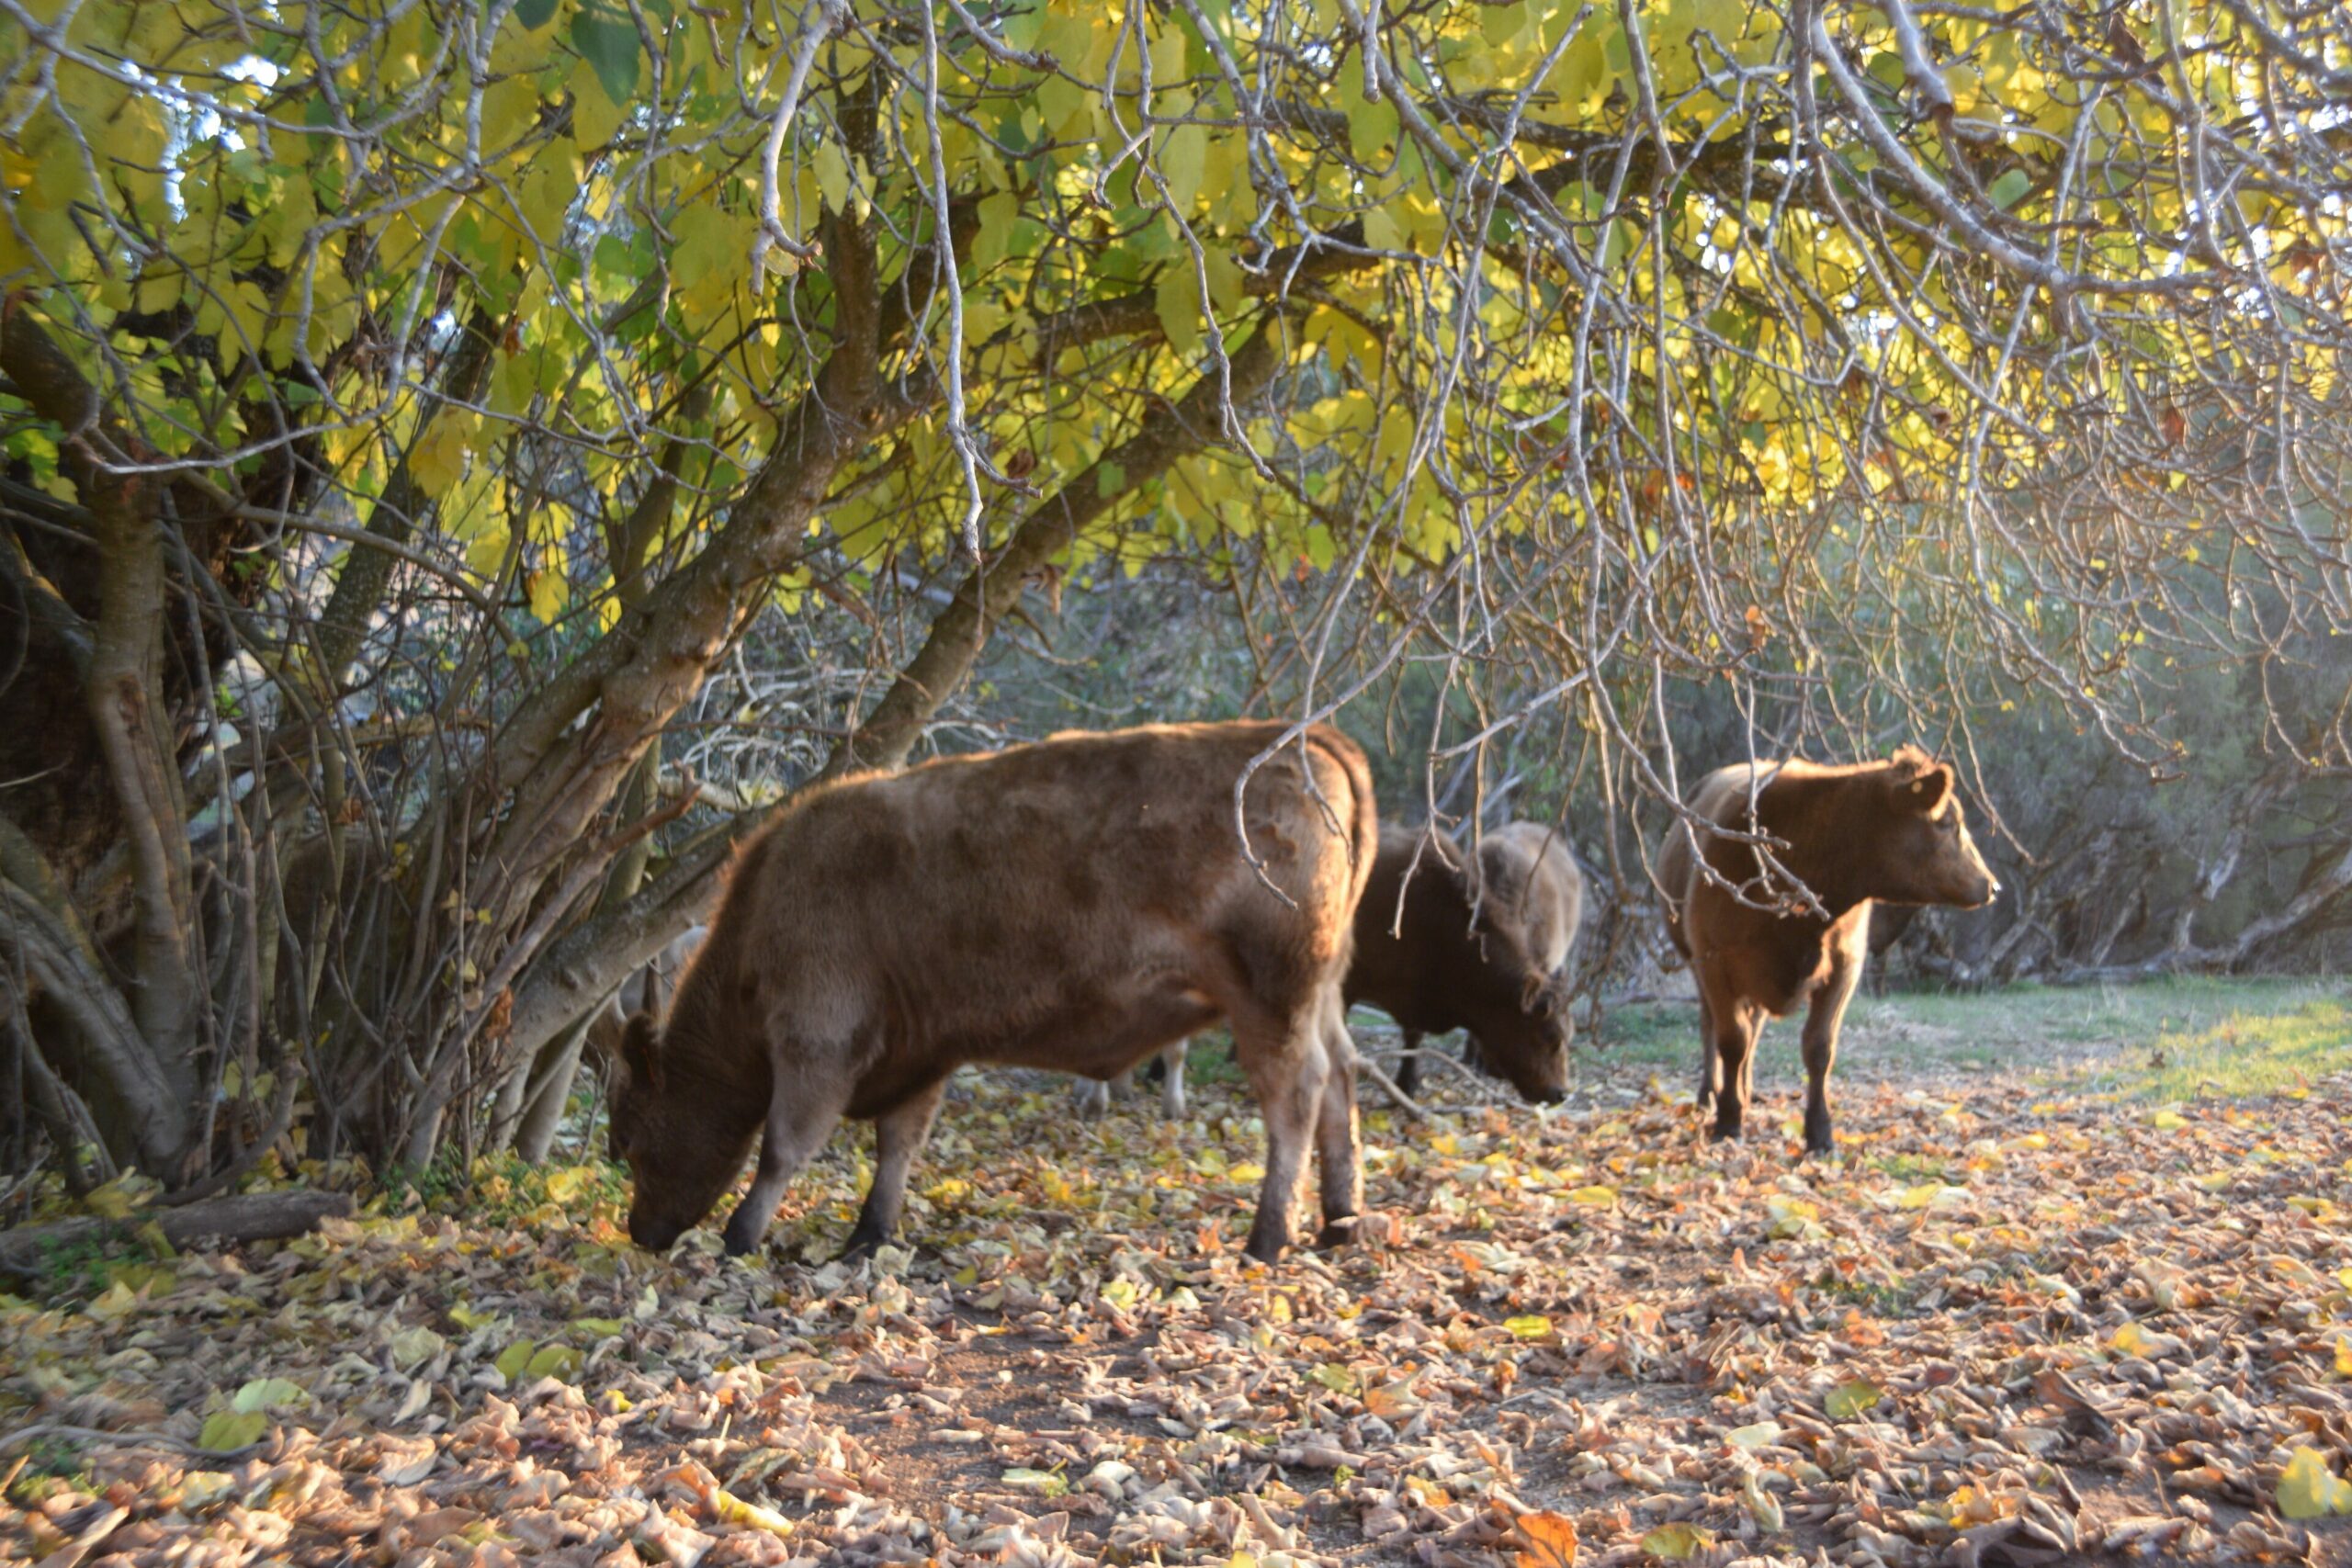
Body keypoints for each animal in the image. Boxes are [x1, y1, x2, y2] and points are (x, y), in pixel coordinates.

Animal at [606, 719, 1374, 1259]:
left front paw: (739, 1238)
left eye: (633, 1136)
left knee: (1297, 1094)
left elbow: (783, 1146)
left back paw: (1268, 1238)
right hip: (1320, 995)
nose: (640, 1230)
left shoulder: (816, 1040)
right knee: (1341, 1075)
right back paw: (1340, 1221)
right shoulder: (916, 1051)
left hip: (1272, 999)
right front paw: (869, 1235)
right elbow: (898, 1145)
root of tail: (1306, 738)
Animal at [1656, 747, 2004, 1152]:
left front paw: (1819, 1131)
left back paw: (1747, 1090)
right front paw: (1728, 1120)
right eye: (1946, 823)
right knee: (1712, 1027)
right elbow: (1732, 1042)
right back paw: (1709, 1094)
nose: (1991, 885)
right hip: (1699, 965)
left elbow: (1818, 1048)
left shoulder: (1844, 967)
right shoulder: (1716, 965)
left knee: (1754, 1028)